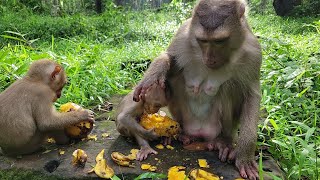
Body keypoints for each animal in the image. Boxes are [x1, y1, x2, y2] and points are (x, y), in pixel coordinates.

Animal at [134, 0, 262, 179]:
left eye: (220, 41)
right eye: (203, 40)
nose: (209, 58)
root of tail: (200, 133)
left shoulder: (253, 52)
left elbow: (252, 94)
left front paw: (245, 155)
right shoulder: (183, 34)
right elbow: (171, 58)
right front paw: (155, 73)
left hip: (214, 129)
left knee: (231, 85)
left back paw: (224, 142)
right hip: (185, 120)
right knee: (176, 76)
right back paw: (180, 134)